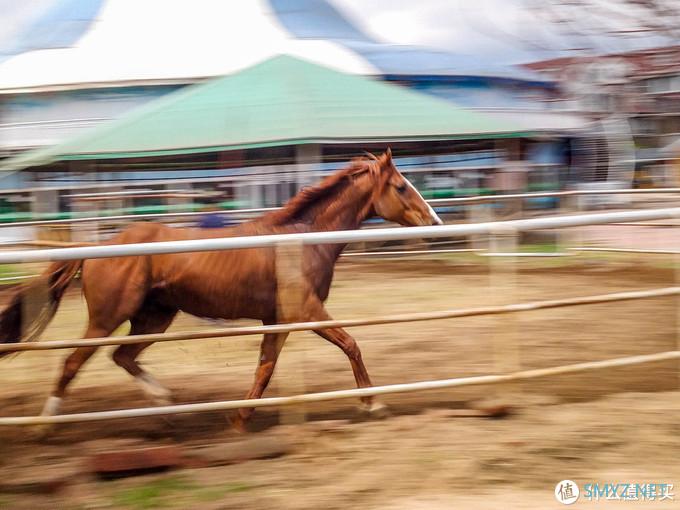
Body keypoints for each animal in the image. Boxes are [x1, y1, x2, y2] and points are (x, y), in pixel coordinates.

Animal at [0, 150, 440, 430]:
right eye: (401, 186)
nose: (434, 222)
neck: (300, 239)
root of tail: (99, 247)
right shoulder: (304, 310)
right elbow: (351, 344)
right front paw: (374, 403)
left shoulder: (277, 318)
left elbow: (265, 368)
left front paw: (239, 418)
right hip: (109, 317)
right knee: (73, 362)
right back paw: (44, 424)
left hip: (154, 316)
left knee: (122, 357)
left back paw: (167, 407)